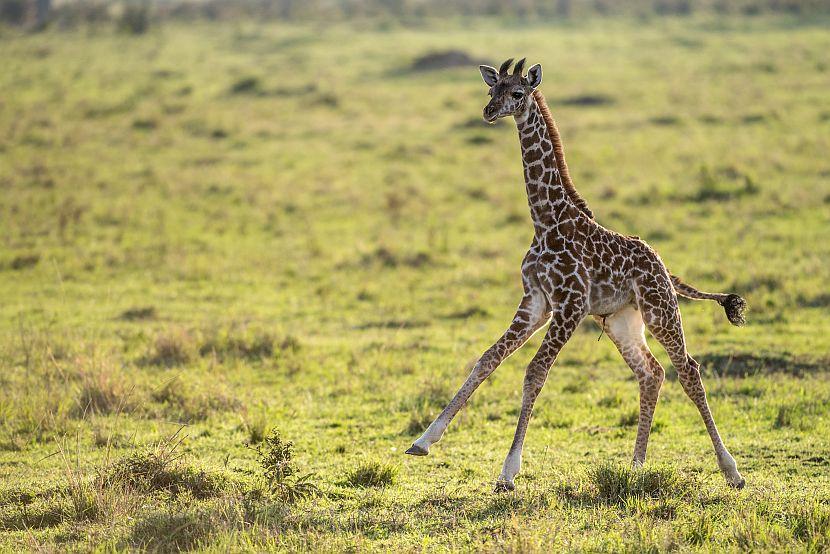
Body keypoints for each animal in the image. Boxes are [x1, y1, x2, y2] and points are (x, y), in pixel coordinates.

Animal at [406, 59, 752, 492]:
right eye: (491, 90)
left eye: (517, 92)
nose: (488, 112)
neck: (545, 220)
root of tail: (664, 267)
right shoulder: (535, 302)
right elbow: (488, 358)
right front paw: (423, 441)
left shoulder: (570, 305)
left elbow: (535, 371)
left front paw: (508, 472)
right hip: (622, 321)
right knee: (651, 372)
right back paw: (635, 467)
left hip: (660, 309)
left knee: (688, 369)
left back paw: (732, 471)